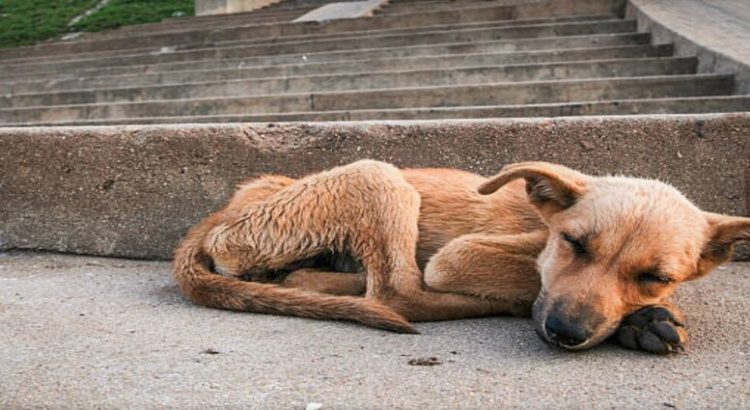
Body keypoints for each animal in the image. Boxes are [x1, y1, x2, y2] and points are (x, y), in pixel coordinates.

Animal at [172, 160, 750, 352]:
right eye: (574, 244)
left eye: (655, 275)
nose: (566, 333)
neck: (540, 224)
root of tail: (219, 215)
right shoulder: (458, 255)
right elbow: (531, 280)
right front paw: (640, 321)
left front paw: (643, 316)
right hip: (378, 176)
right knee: (399, 294)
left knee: (320, 282)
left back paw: (319, 281)